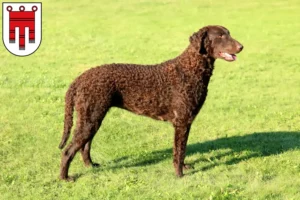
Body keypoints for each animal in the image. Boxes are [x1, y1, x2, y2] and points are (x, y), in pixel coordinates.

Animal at [58, 25, 244, 181]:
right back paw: (65, 178)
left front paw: (183, 167)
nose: (241, 46)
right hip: (90, 119)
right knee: (68, 151)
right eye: (220, 36)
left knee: (84, 146)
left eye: (228, 33)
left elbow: (182, 149)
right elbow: (179, 150)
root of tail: (79, 79)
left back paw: (90, 166)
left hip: (92, 119)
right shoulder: (181, 122)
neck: (189, 69)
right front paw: (179, 174)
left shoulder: (185, 123)